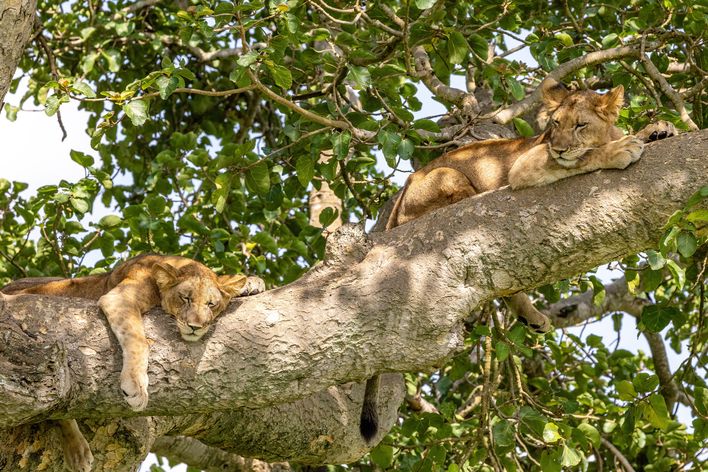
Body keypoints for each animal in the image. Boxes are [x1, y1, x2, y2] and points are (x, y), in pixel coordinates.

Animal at [1, 254, 264, 472]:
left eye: (211, 304)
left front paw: (253, 282)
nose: (195, 327)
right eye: (185, 298)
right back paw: (78, 451)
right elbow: (139, 340)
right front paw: (136, 386)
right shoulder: (120, 298)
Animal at [360, 78, 680, 442]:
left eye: (580, 125)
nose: (558, 147)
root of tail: (401, 194)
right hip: (450, 179)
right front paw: (620, 150)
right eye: (555, 124)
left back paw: (533, 319)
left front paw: (659, 129)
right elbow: (586, 156)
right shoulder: (528, 164)